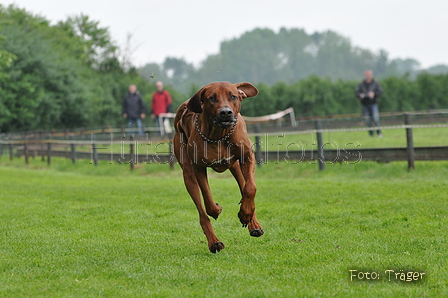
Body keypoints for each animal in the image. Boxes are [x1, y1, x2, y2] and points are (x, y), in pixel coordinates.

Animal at [173, 81, 264, 251]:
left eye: (233, 96)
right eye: (212, 98)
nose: (226, 113)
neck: (219, 135)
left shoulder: (247, 156)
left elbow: (250, 188)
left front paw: (245, 214)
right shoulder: (198, 167)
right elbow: (208, 200)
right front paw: (217, 209)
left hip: (235, 166)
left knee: (244, 185)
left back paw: (253, 223)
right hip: (187, 172)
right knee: (202, 212)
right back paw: (214, 242)